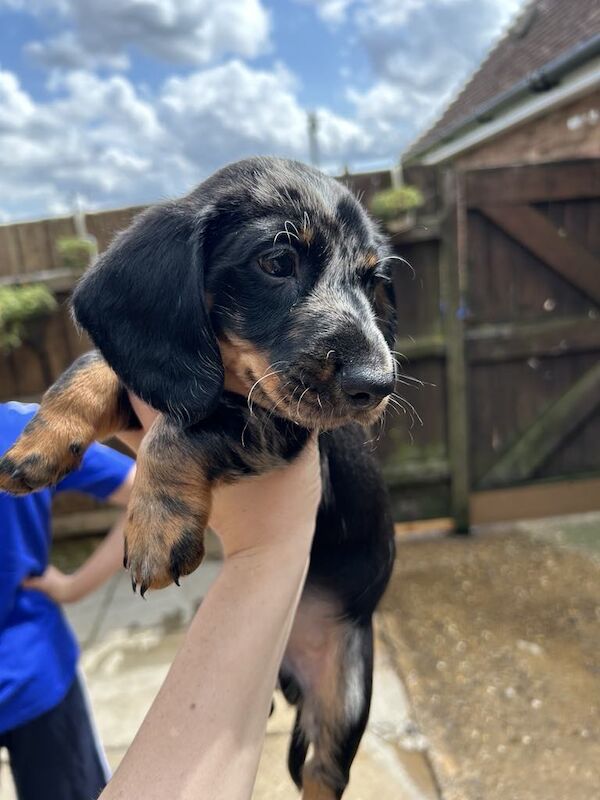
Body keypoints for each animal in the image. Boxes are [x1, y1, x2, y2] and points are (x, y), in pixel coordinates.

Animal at [0, 158, 398, 800]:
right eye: (276, 261)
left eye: (371, 280)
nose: (378, 385)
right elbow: (93, 365)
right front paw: (38, 442)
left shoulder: (274, 425)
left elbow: (183, 427)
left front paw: (158, 526)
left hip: (346, 696)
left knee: (322, 772)